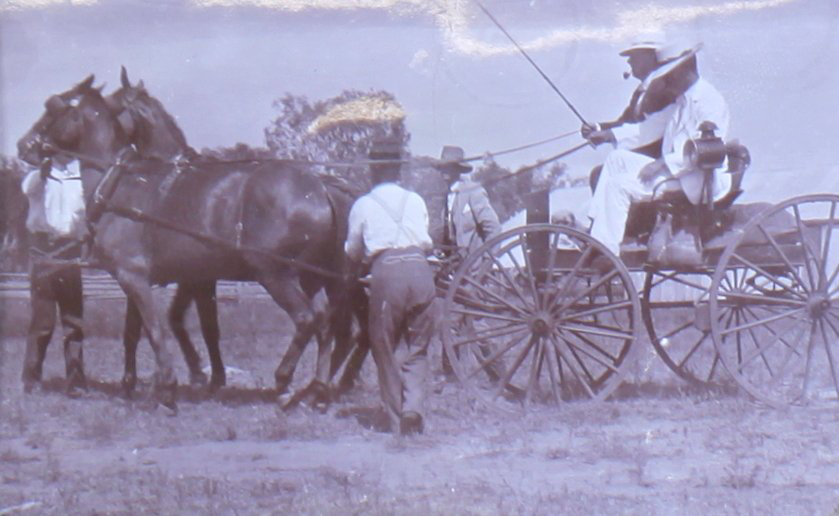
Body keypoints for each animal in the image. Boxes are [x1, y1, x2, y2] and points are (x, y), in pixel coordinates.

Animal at [17, 74, 359, 410]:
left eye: (53, 107)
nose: (24, 145)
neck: (120, 184)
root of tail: (320, 185)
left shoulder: (138, 275)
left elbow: (157, 330)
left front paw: (168, 387)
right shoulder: (170, 278)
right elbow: (146, 330)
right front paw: (146, 383)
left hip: (275, 273)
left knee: (306, 319)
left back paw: (285, 382)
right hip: (311, 277)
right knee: (326, 324)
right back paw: (318, 391)